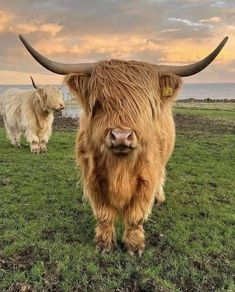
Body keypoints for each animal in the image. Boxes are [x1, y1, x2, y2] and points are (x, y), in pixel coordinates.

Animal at [19, 33, 229, 253]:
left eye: (145, 104)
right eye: (99, 102)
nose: (121, 136)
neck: (120, 166)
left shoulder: (147, 176)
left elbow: (136, 214)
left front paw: (134, 245)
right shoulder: (94, 175)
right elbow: (103, 213)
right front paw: (104, 243)